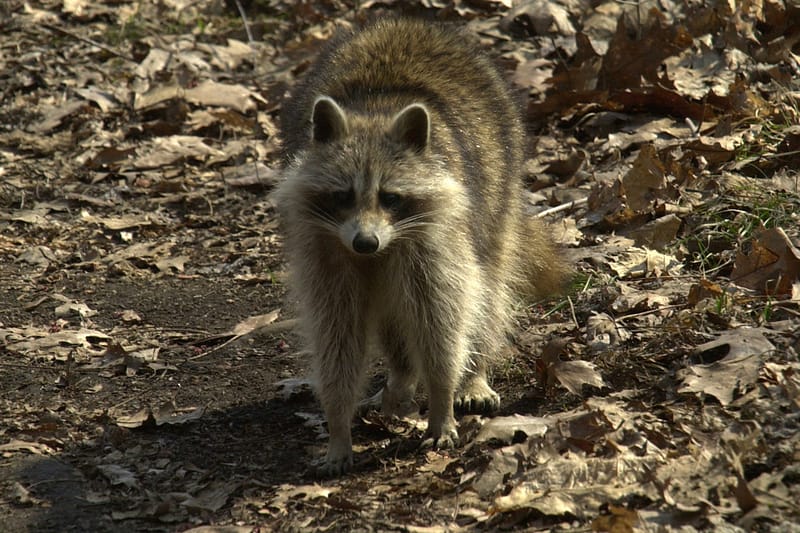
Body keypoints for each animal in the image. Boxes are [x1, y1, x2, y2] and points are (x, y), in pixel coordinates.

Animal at [276, 18, 564, 474]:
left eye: (391, 197)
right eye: (343, 196)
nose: (365, 242)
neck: (374, 113)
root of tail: (409, 22)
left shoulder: (436, 234)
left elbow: (441, 316)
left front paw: (442, 397)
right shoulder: (325, 248)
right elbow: (336, 331)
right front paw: (338, 423)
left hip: (500, 180)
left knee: (486, 288)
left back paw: (474, 369)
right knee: (393, 316)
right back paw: (401, 376)